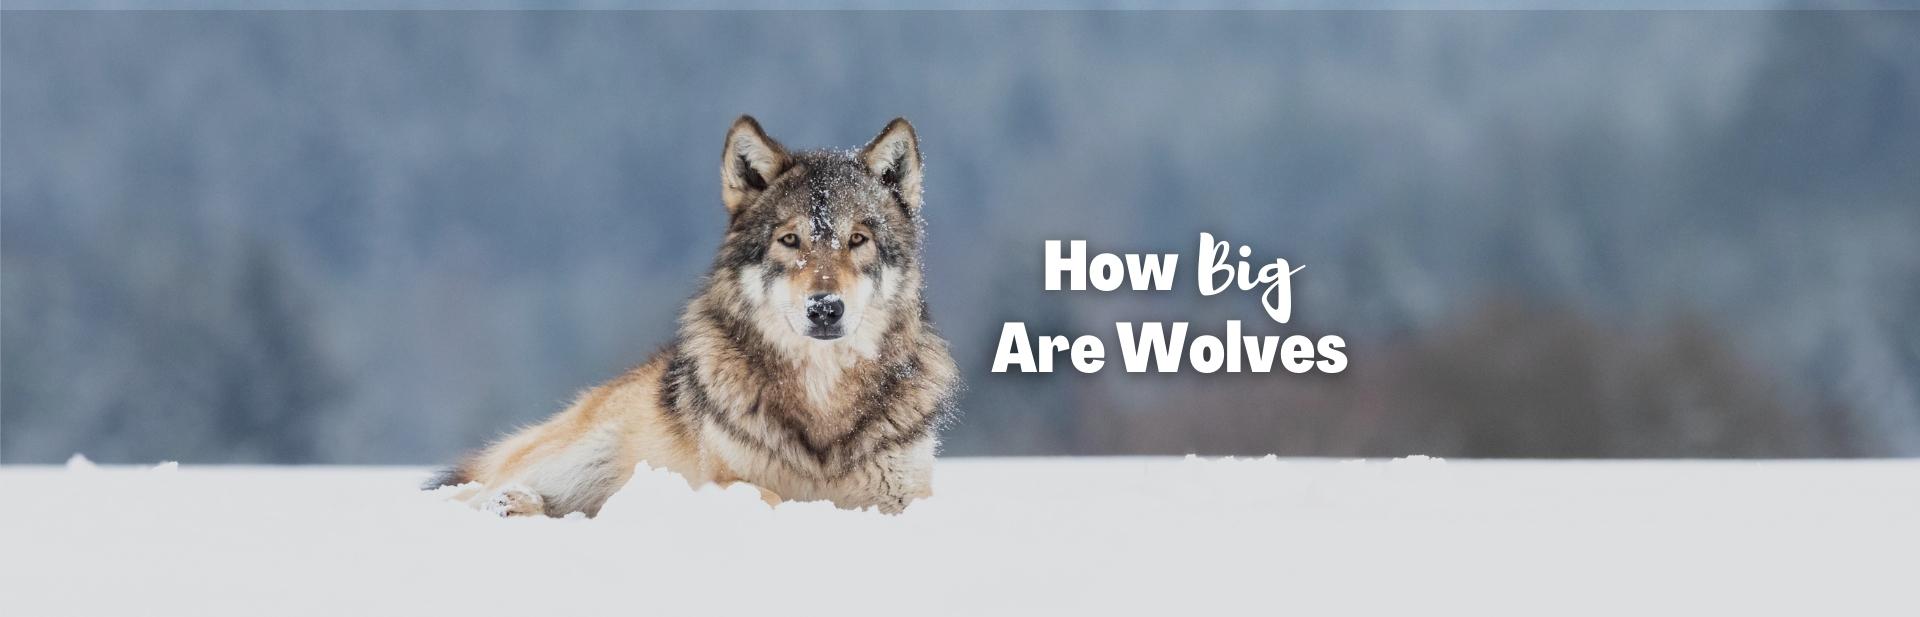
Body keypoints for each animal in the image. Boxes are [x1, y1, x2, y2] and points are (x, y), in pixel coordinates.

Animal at [426, 116, 959, 516]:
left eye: (858, 240)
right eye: (789, 240)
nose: (826, 308)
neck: (823, 400)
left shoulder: (909, 493)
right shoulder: (724, 481)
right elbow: (770, 496)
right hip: (574, 456)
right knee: (466, 494)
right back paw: (505, 502)